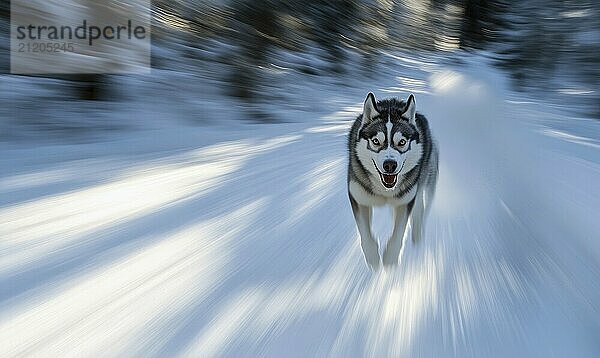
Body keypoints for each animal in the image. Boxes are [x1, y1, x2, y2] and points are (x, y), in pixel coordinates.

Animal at [346, 92, 436, 268]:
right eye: (376, 141)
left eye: (401, 142)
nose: (389, 165)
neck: (384, 191)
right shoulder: (359, 198)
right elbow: (364, 231)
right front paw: (372, 256)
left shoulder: (405, 201)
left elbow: (399, 231)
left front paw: (391, 256)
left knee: (419, 208)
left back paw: (417, 234)